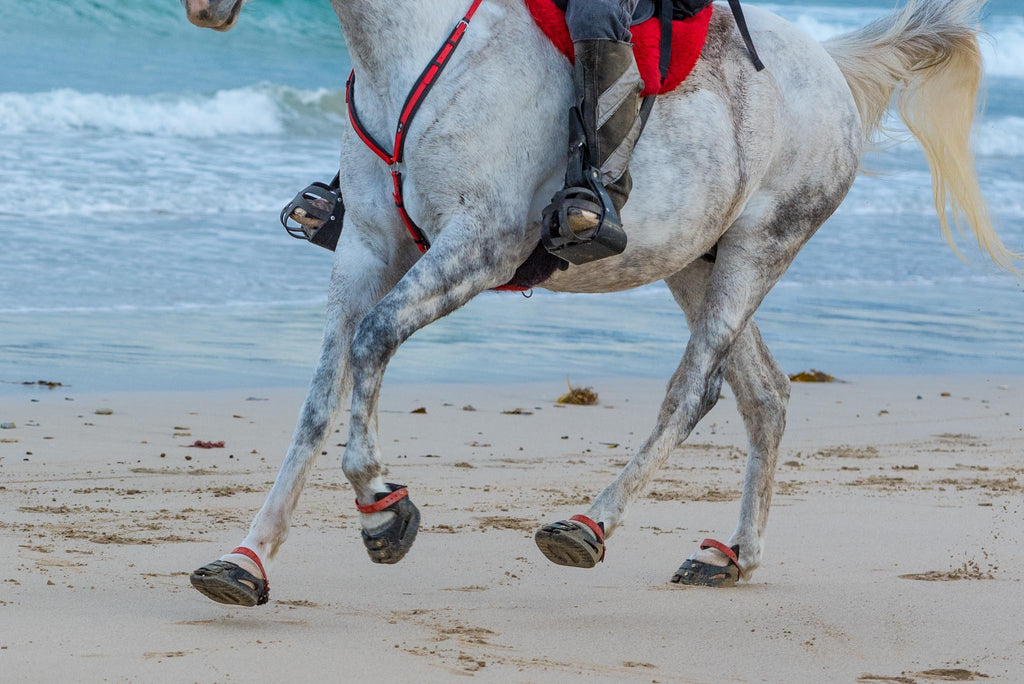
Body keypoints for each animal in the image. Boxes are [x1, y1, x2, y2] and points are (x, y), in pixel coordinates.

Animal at [178, 0, 1015, 602]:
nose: (204, 8)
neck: (414, 49)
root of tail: (829, 65)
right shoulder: (365, 252)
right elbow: (320, 401)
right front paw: (247, 557)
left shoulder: (478, 247)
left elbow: (374, 340)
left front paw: (384, 508)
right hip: (695, 262)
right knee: (766, 395)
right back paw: (732, 557)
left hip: (760, 247)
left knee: (695, 391)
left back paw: (587, 524)